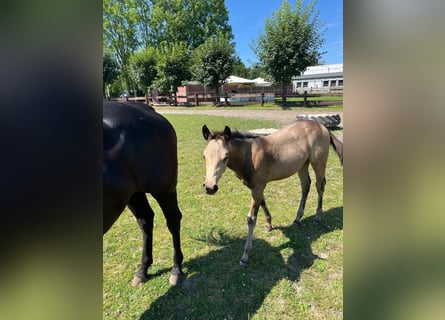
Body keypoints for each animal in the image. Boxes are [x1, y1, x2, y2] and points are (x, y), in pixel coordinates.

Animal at [103, 100, 183, 284]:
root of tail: (145, 108)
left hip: (164, 189)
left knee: (173, 219)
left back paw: (176, 269)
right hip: (134, 193)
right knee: (146, 219)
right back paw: (143, 269)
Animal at [201, 120, 344, 264]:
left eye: (225, 156)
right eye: (204, 156)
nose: (210, 187)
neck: (250, 156)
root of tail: (322, 126)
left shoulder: (258, 187)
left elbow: (251, 219)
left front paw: (245, 256)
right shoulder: (256, 187)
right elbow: (263, 202)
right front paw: (269, 225)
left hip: (318, 163)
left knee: (320, 186)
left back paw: (318, 217)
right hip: (302, 165)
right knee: (305, 185)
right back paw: (298, 218)